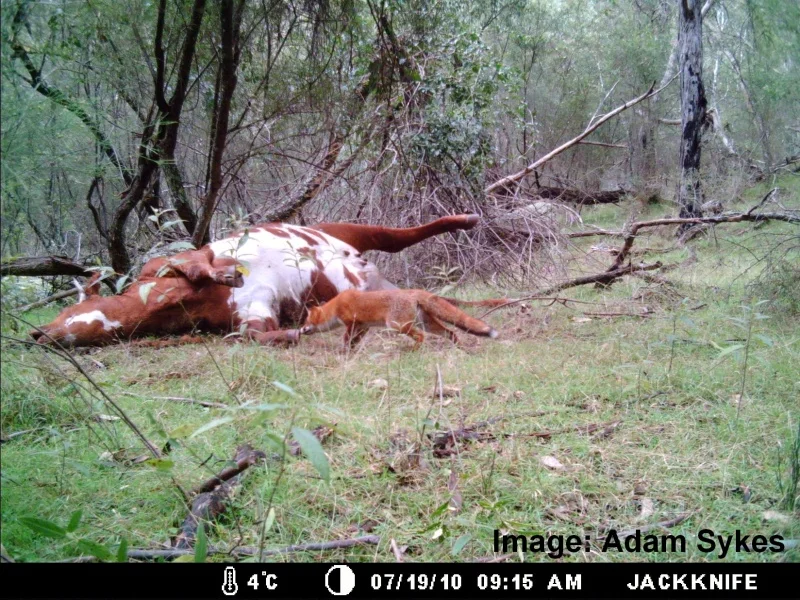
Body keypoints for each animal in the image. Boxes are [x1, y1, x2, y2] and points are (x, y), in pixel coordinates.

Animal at [30, 215, 480, 347]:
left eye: (67, 307)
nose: (36, 332)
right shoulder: (252, 316)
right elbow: (257, 334)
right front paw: (296, 331)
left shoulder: (166, 263)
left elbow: (195, 263)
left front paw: (223, 272)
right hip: (379, 288)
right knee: (422, 302)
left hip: (350, 230)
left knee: (405, 234)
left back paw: (466, 219)